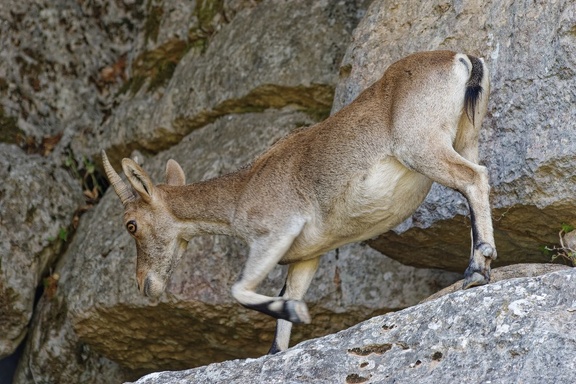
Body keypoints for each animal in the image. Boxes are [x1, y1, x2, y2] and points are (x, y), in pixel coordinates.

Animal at [101, 50, 492, 354]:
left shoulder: (275, 232)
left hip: (422, 146)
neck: (242, 191)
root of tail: (460, 59)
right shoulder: (308, 254)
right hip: (465, 137)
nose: (144, 284)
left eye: (131, 224)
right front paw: (277, 349)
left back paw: (476, 269)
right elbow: (289, 299)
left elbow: (240, 289)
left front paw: (297, 312)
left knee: (474, 178)